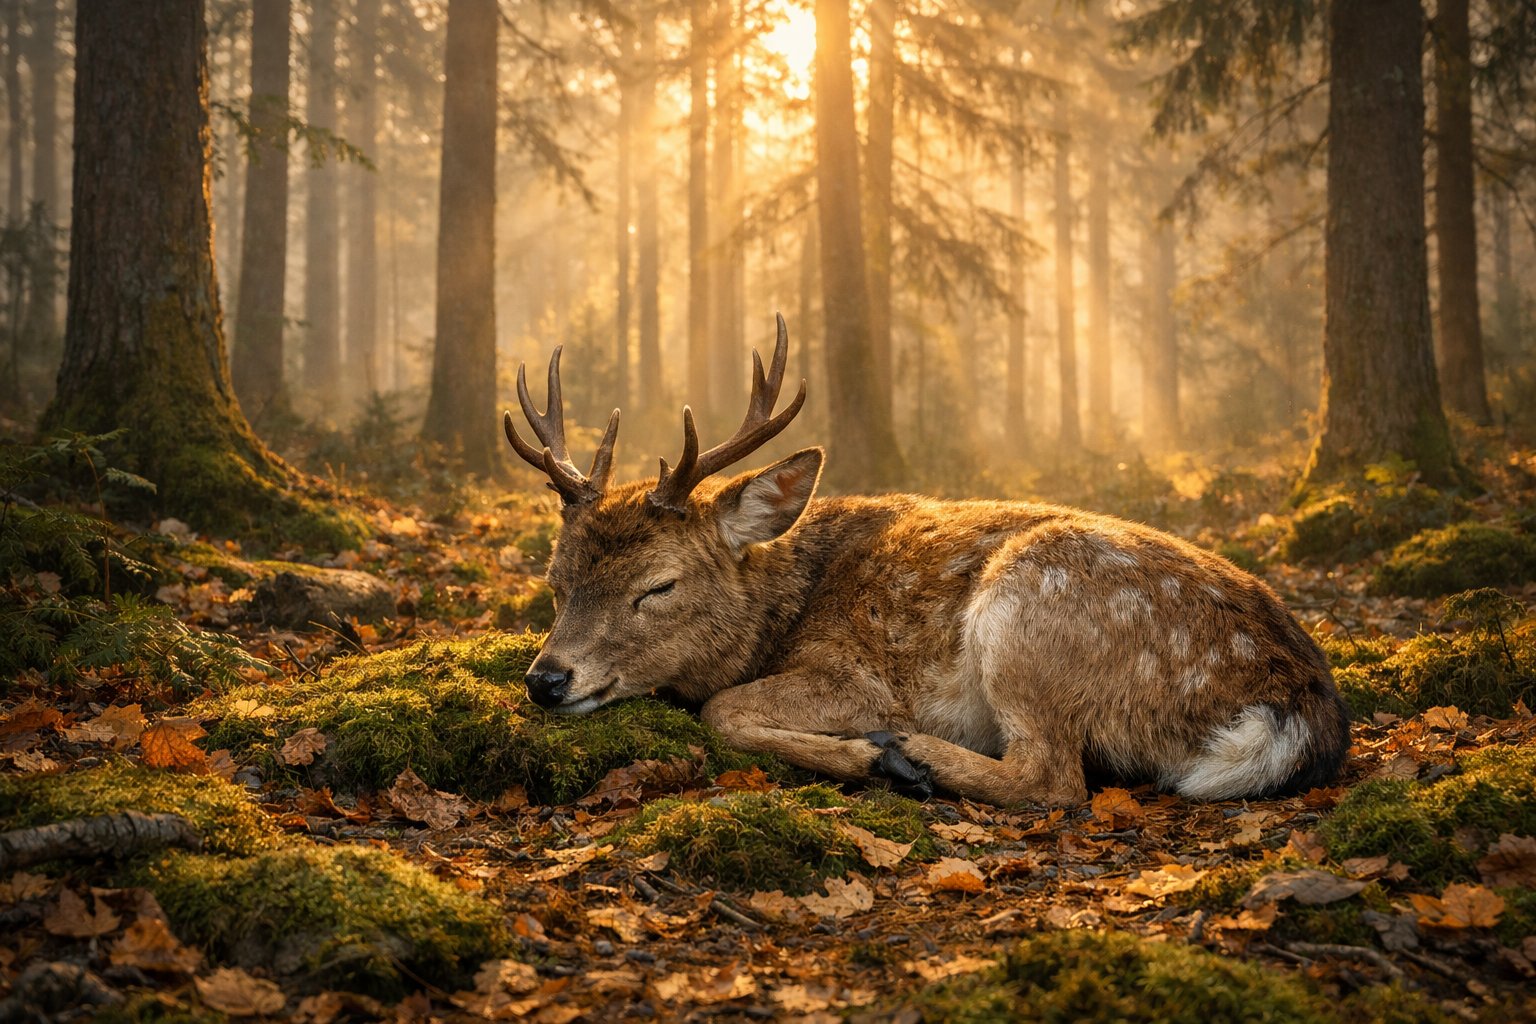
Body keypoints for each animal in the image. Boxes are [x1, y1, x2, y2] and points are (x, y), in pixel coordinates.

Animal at [503, 315, 1351, 807]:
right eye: (555, 581)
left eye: (659, 586)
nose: (547, 680)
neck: (777, 613)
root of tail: (1298, 709)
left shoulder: (854, 672)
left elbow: (723, 710)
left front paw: (868, 752)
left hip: (1032, 608)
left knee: (1054, 778)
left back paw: (909, 758)